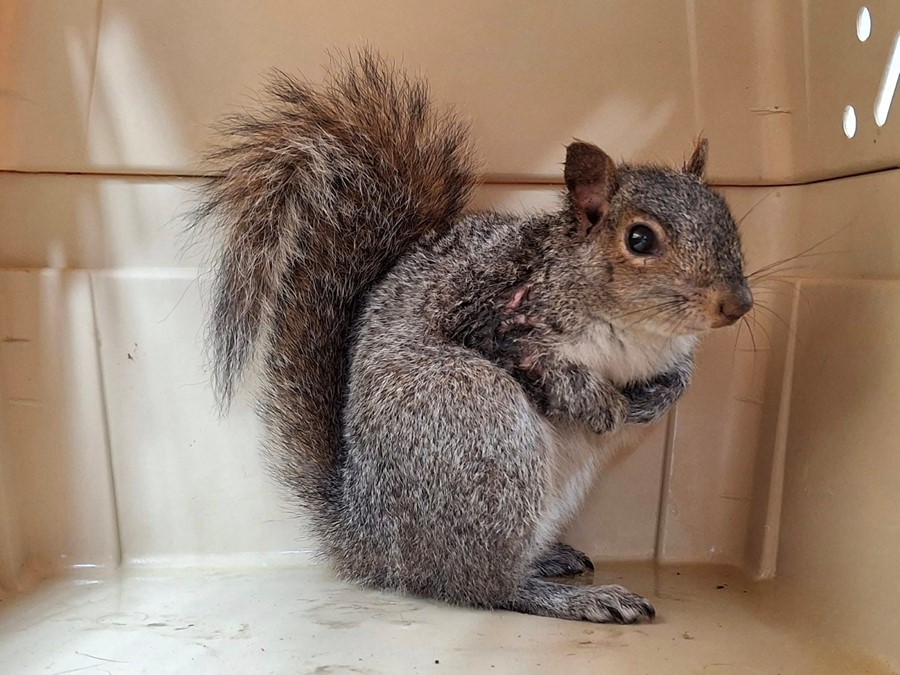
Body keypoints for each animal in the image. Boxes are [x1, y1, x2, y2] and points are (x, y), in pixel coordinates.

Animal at [194, 51, 751, 624]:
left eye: (728, 219)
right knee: (480, 585)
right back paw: (569, 597)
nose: (736, 305)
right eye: (639, 239)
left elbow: (679, 374)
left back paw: (551, 560)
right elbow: (543, 367)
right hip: (479, 422)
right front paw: (598, 402)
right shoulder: (492, 317)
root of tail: (371, 541)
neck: (641, 334)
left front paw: (657, 398)